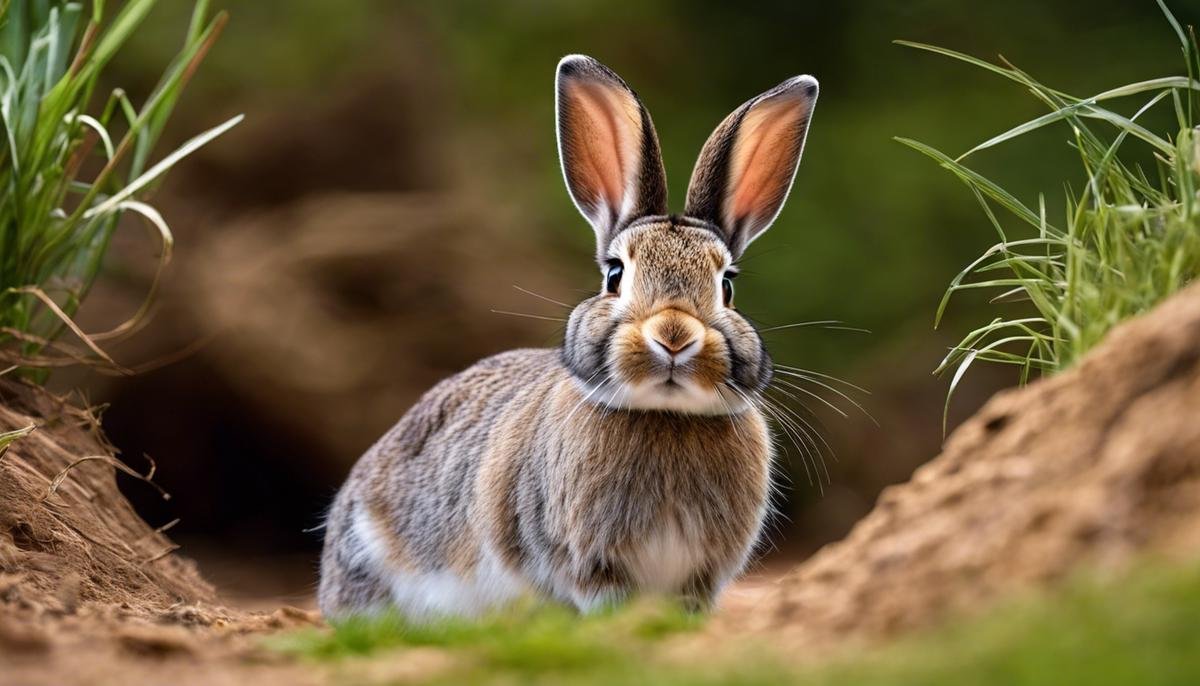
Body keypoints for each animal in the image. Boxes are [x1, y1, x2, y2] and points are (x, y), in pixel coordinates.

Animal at [319, 56, 820, 618]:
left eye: (727, 286)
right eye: (615, 275)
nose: (673, 337)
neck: (665, 414)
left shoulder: (700, 574)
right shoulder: (581, 559)